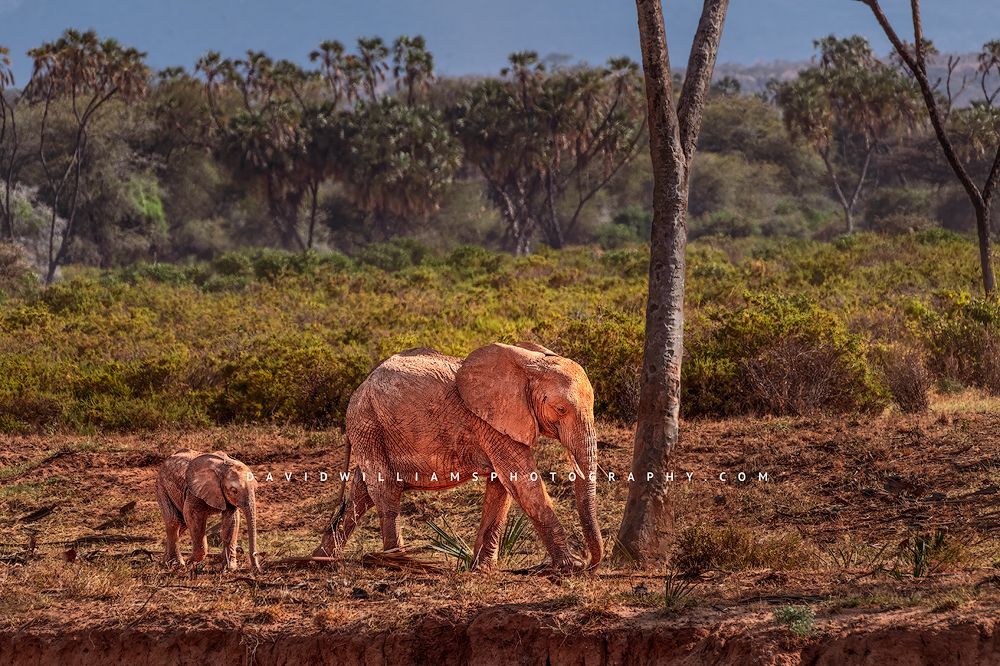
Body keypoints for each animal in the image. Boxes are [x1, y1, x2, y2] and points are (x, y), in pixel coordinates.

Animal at [314, 342, 602, 572]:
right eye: (561, 409)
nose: (590, 563)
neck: (528, 364)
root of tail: (360, 386)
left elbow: (502, 487)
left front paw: (482, 569)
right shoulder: (491, 422)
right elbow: (523, 483)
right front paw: (570, 566)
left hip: (369, 426)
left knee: (361, 492)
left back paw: (322, 560)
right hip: (367, 421)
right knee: (385, 488)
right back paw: (399, 563)